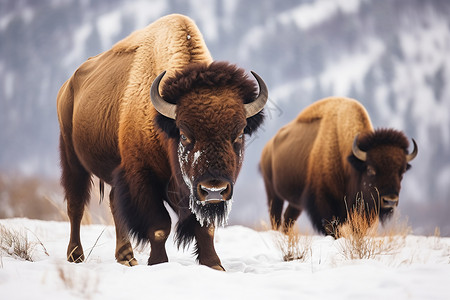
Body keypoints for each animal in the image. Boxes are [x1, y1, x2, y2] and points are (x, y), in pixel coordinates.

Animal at [55, 13, 268, 270]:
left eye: (238, 135)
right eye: (184, 135)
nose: (213, 189)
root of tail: (68, 85)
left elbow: (205, 228)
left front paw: (214, 265)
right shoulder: (143, 177)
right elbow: (159, 226)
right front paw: (158, 263)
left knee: (114, 204)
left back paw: (127, 257)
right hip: (71, 157)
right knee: (75, 205)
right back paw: (76, 255)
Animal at [260, 97, 418, 236]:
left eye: (401, 172)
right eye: (370, 169)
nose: (390, 200)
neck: (348, 160)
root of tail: (268, 147)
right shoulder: (324, 204)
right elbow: (332, 229)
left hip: (296, 203)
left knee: (288, 218)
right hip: (273, 193)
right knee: (276, 216)